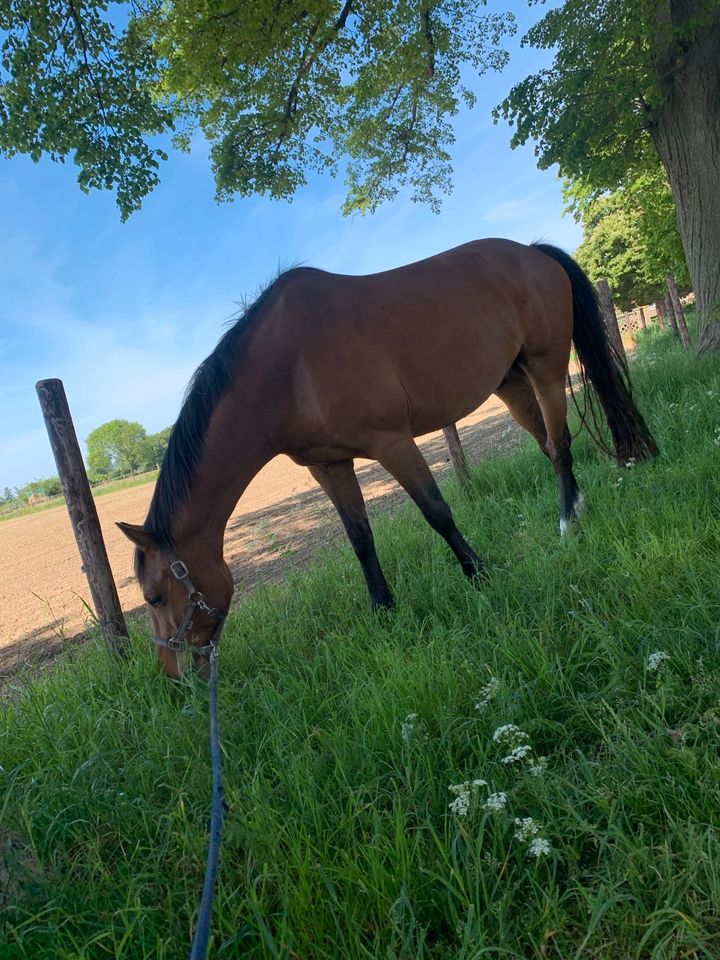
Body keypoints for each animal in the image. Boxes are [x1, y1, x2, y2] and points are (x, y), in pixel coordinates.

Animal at [119, 238, 660, 676]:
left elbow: (436, 512)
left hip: (546, 366)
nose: (171, 673)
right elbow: (360, 538)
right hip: (511, 382)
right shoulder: (329, 465)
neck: (291, 367)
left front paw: (480, 575)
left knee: (561, 445)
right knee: (549, 445)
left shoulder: (392, 442)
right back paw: (578, 507)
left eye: (154, 596)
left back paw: (568, 521)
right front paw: (382, 610)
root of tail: (531, 253)